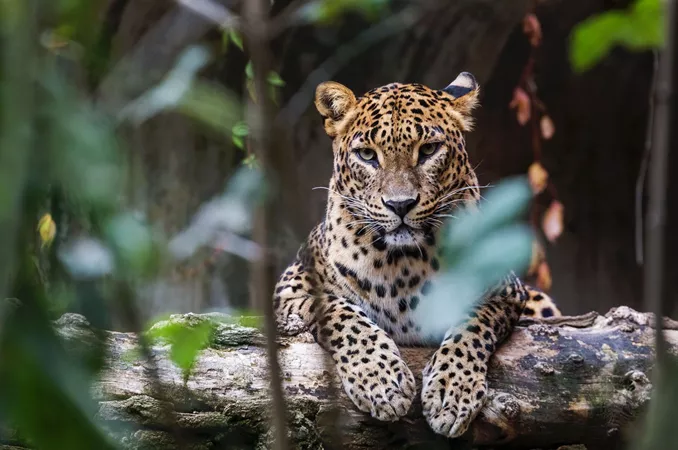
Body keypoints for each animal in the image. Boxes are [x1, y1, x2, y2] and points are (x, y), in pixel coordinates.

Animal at [273, 72, 561, 439]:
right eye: (367, 155)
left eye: (428, 150)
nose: (400, 205)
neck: (402, 263)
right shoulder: (291, 288)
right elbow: (342, 315)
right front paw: (382, 382)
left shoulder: (505, 290)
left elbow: (471, 324)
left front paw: (452, 393)